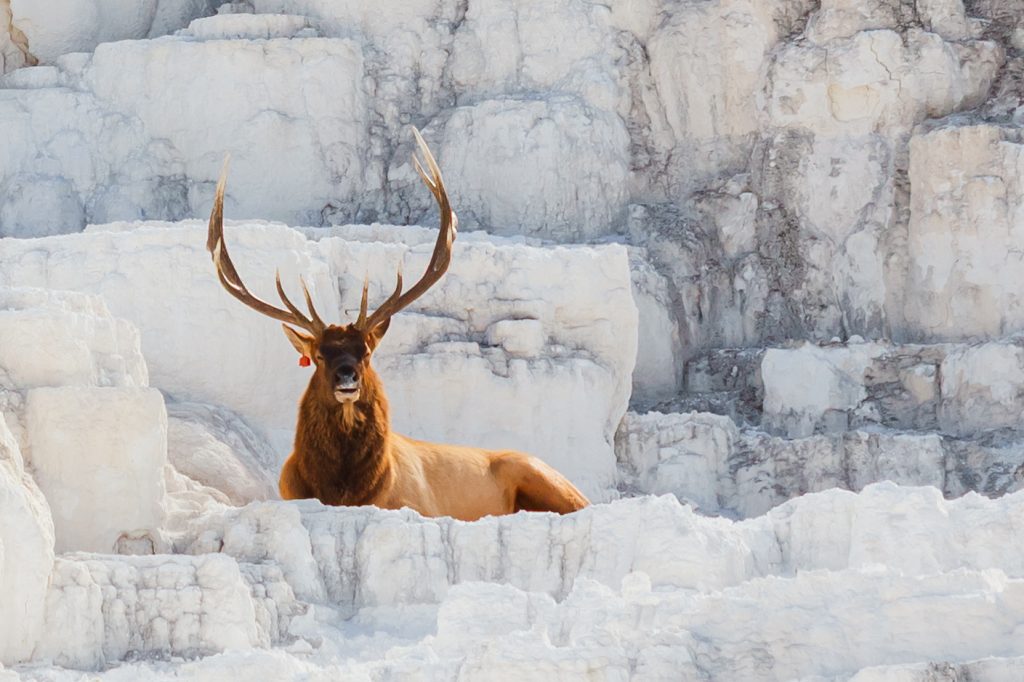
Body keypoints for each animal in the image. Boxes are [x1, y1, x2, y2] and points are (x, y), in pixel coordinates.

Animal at [206, 129, 589, 521]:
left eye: (366, 353)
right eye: (319, 356)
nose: (347, 378)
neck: (345, 492)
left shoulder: (420, 506)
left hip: (541, 476)